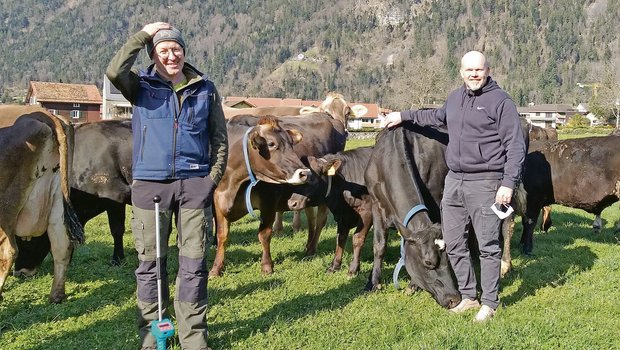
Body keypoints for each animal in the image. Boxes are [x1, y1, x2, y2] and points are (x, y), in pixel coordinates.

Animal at [0, 104, 83, 304]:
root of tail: (46, 114)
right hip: (58, 199)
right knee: (61, 244)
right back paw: (56, 296)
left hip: (7, 205)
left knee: (9, 251)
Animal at [211, 117, 312, 276]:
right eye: (271, 144)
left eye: (291, 144)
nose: (305, 173)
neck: (234, 183)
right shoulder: (218, 203)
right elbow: (222, 235)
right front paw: (216, 268)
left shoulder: (269, 203)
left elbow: (264, 234)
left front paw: (266, 266)